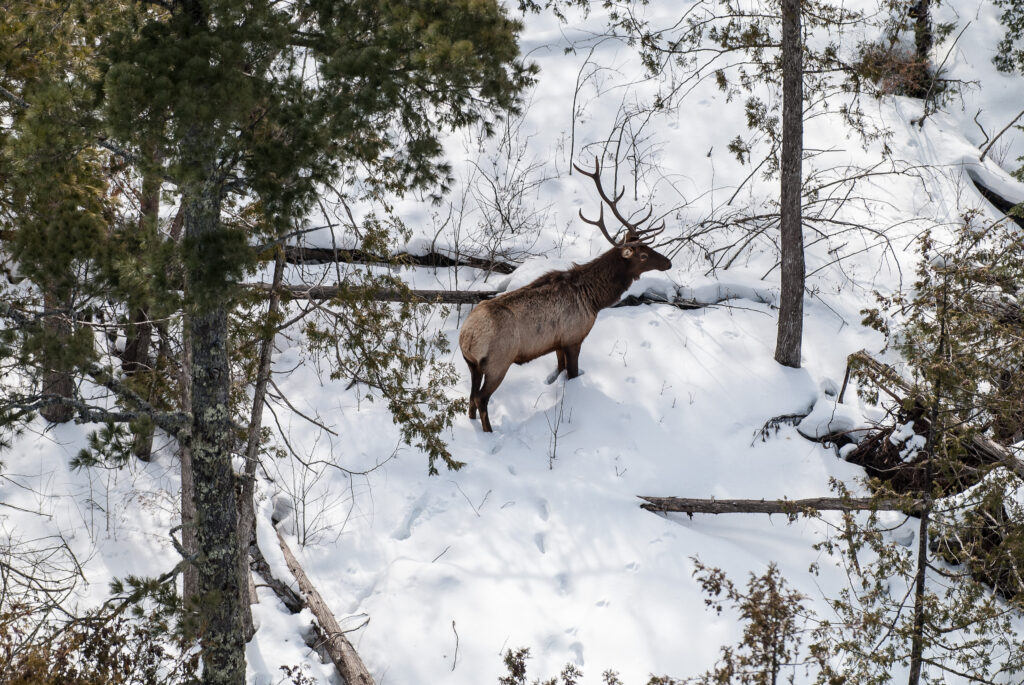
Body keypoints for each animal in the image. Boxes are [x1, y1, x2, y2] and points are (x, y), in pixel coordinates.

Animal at [459, 158, 673, 432]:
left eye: (649, 247)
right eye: (644, 255)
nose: (668, 262)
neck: (594, 300)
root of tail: (467, 337)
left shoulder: (557, 342)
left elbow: (558, 370)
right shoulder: (573, 338)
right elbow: (571, 374)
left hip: (472, 365)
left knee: (471, 398)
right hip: (498, 362)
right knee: (481, 398)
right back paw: (489, 434)